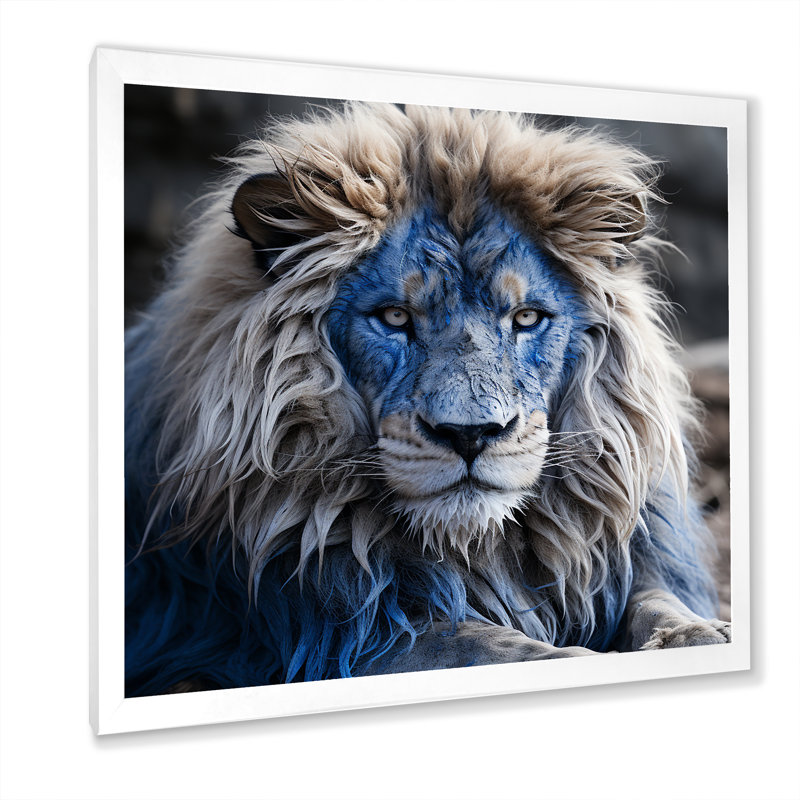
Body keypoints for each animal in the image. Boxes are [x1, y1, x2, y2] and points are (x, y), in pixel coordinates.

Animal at [125, 102, 730, 695]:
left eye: (526, 318)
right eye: (395, 317)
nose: (471, 435)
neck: (475, 544)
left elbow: (656, 600)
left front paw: (698, 635)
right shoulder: (332, 635)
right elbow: (487, 646)